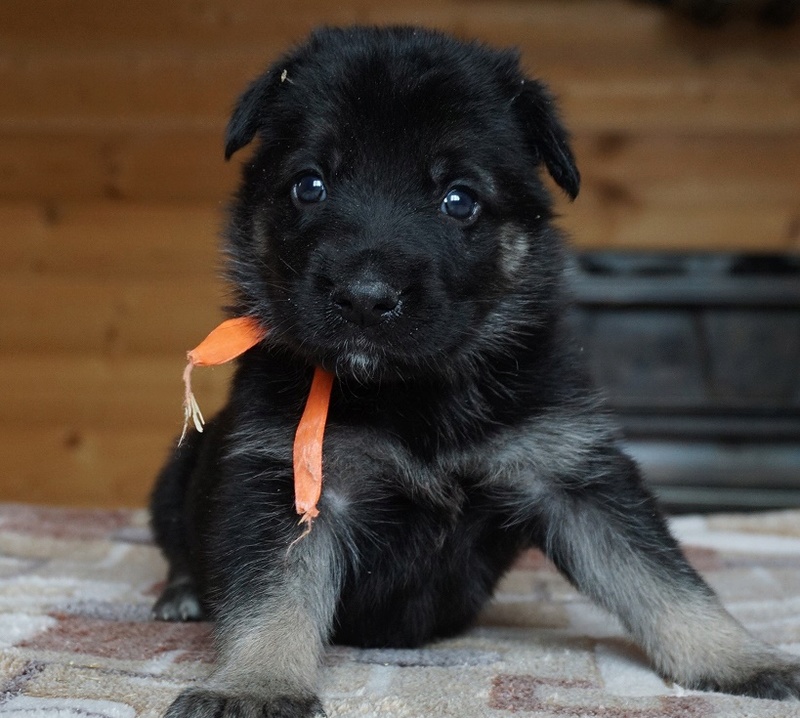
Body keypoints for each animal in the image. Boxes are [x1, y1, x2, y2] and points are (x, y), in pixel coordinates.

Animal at [152, 23, 800, 718]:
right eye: (310, 185)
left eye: (458, 200)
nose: (365, 297)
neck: (412, 394)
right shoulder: (285, 486)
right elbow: (272, 599)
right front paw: (255, 684)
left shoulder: (571, 474)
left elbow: (663, 579)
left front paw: (741, 658)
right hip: (177, 474)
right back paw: (182, 593)